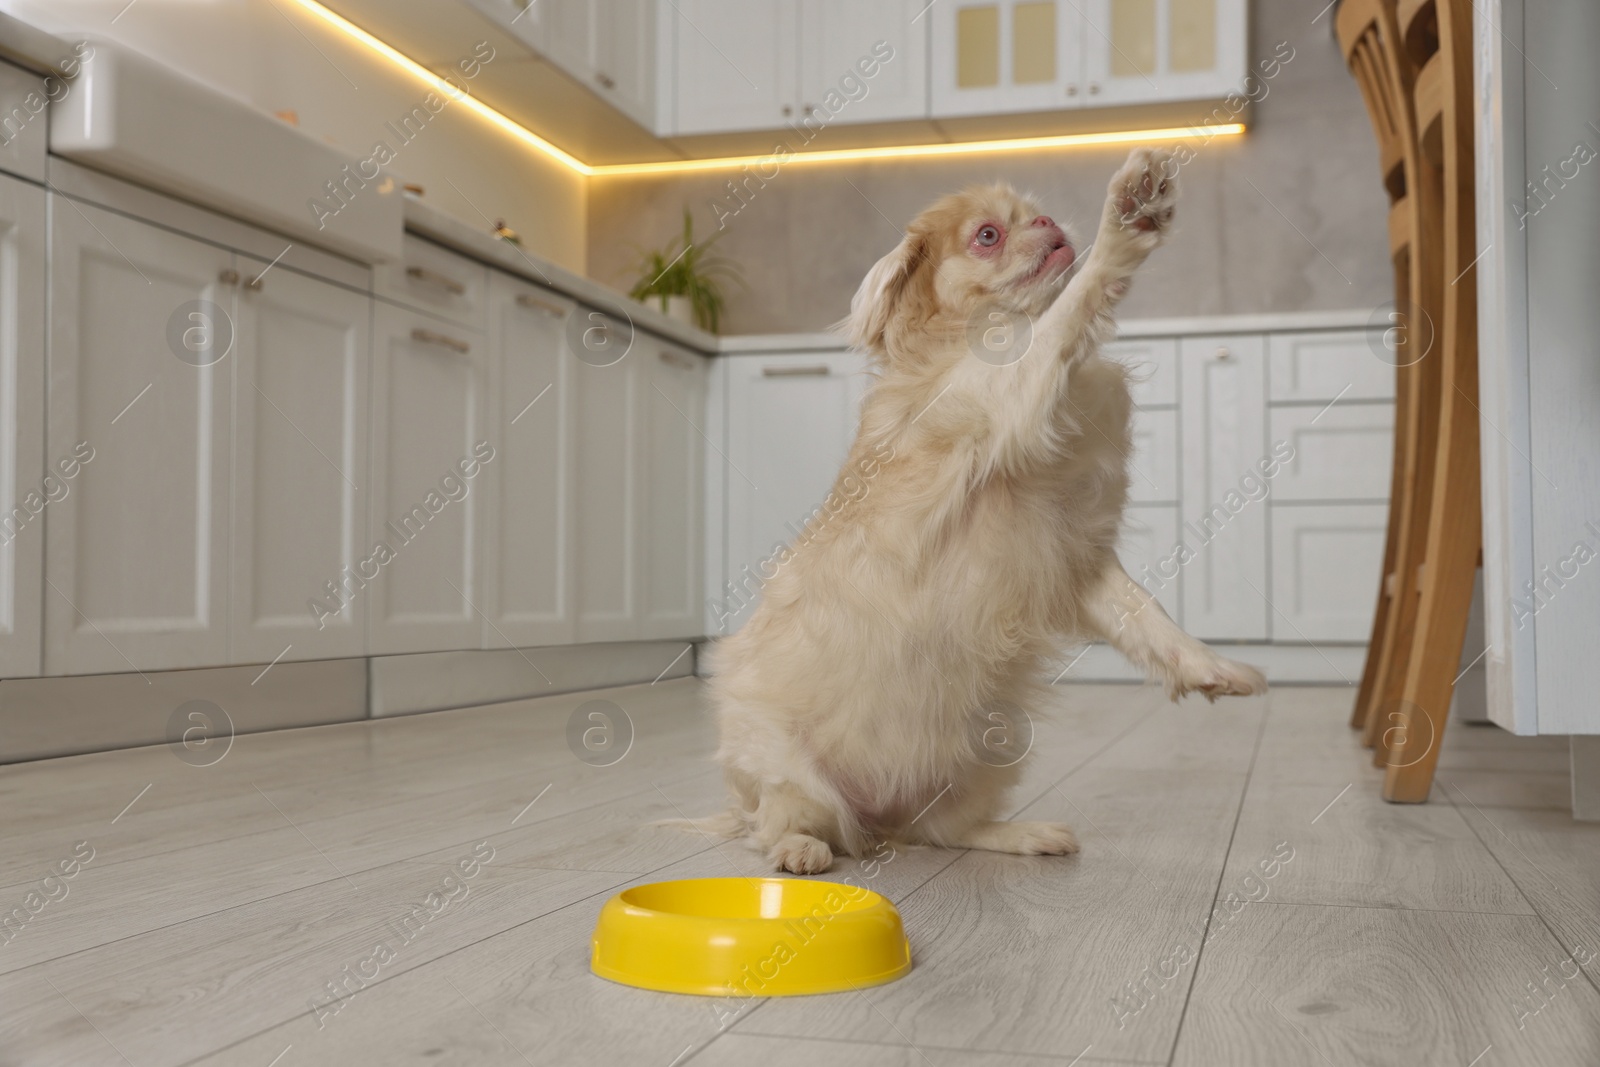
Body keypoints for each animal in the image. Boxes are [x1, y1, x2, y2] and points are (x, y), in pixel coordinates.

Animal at [700, 143, 1260, 876]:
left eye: (1032, 216)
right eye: (988, 235)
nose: (1050, 222)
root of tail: (881, 820)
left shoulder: (1075, 555)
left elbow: (1147, 615)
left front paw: (1209, 668)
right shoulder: (1011, 392)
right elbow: (1069, 313)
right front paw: (1124, 223)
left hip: (991, 748)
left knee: (946, 828)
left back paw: (1023, 835)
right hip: (786, 768)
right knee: (775, 824)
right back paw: (800, 848)